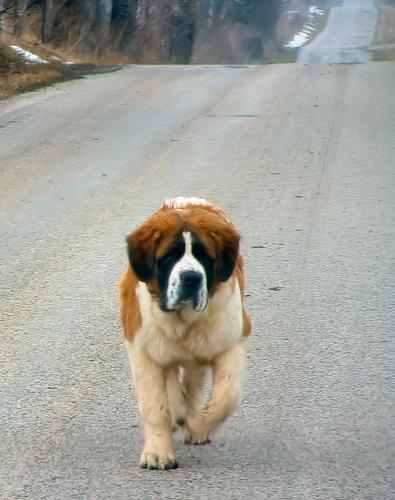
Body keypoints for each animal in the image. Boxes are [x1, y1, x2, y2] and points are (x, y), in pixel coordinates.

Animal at [119, 195, 252, 468]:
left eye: (204, 256)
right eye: (170, 255)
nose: (191, 277)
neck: (183, 320)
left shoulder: (231, 342)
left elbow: (227, 395)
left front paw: (198, 426)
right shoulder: (143, 351)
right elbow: (155, 406)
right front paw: (157, 452)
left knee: (193, 384)